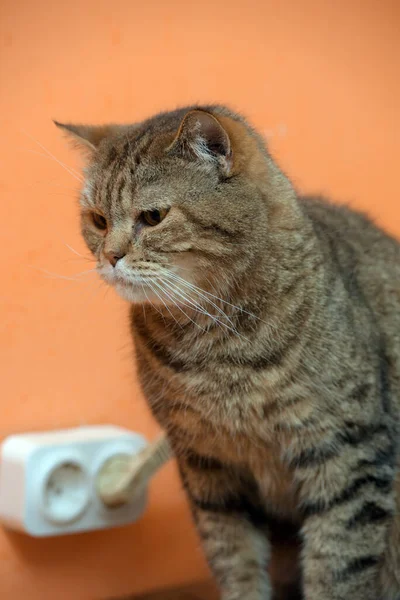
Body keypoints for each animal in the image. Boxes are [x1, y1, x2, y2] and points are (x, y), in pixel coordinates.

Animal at [57, 105, 400, 596]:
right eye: (98, 220)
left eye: (153, 216)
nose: (109, 256)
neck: (214, 348)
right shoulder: (207, 465)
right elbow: (234, 559)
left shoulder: (347, 452)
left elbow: (337, 566)